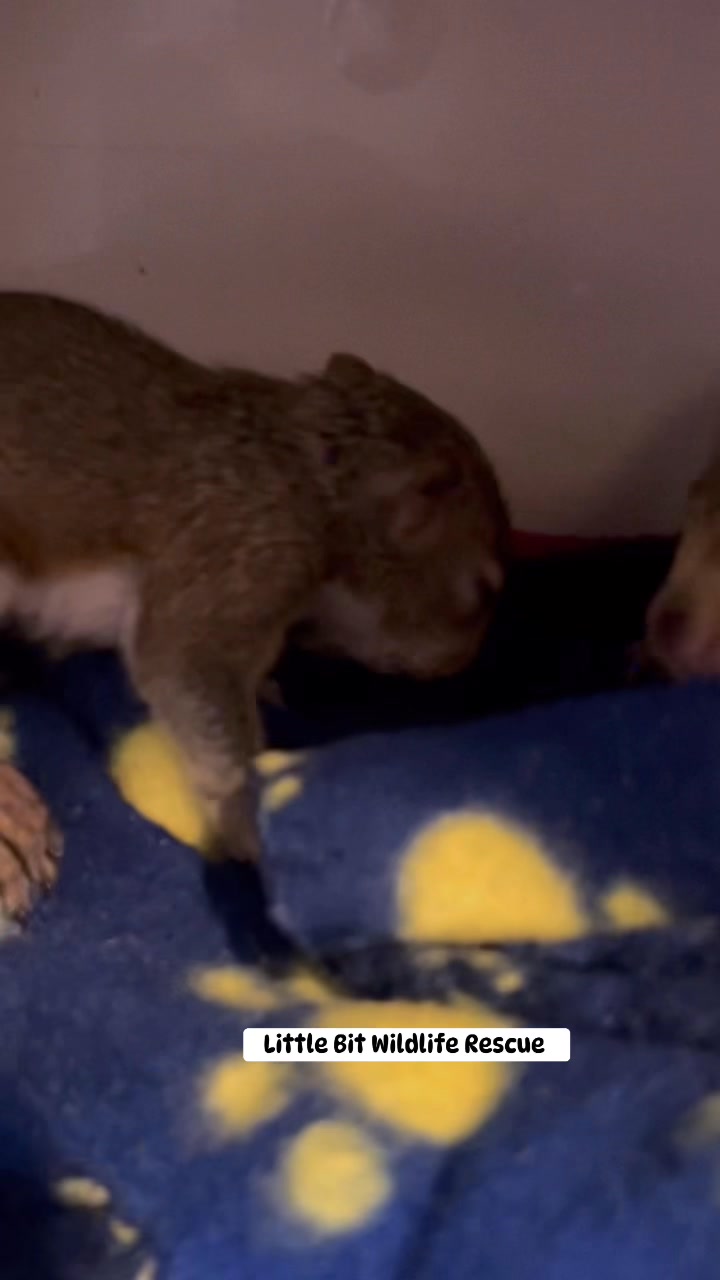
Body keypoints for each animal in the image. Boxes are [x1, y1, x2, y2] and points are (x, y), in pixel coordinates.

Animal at [0, 292, 510, 917]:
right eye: (483, 591)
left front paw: (266, 688)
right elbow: (186, 669)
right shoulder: (242, 547)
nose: (463, 662)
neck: (313, 476)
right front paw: (251, 826)